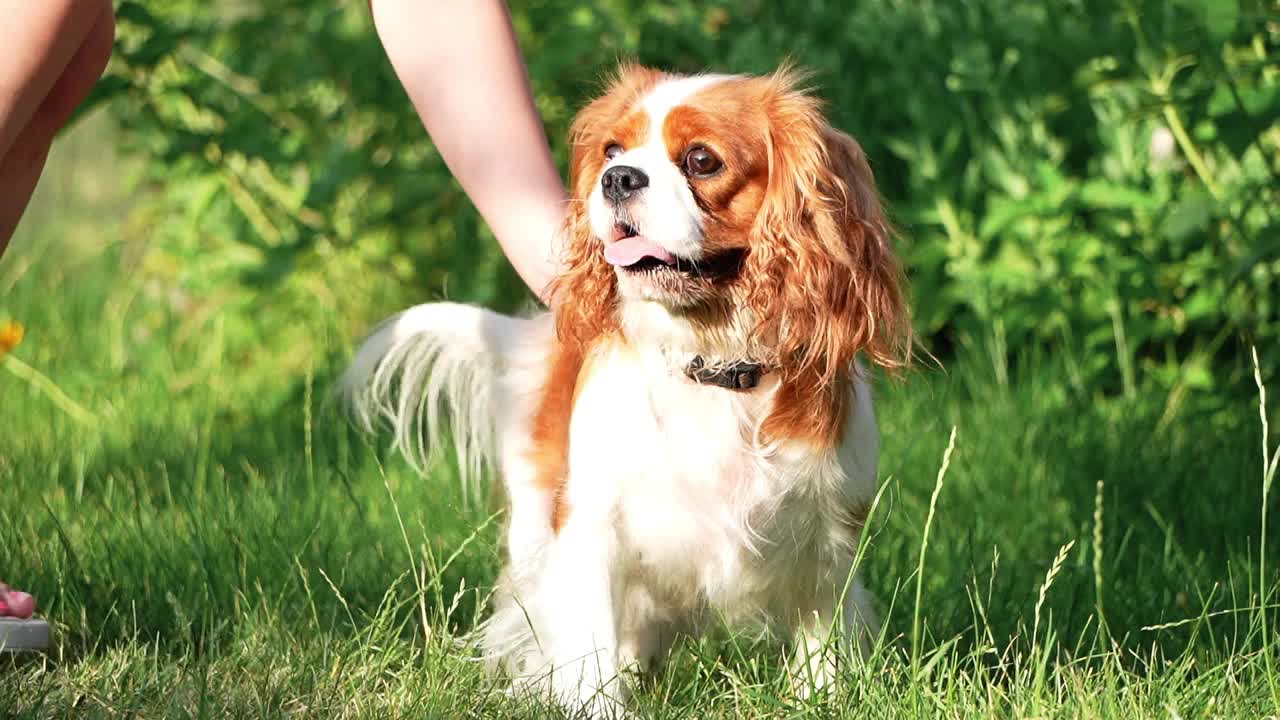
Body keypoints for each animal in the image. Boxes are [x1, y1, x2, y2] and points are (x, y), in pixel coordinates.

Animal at [345, 63, 916, 712]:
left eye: (701, 160)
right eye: (612, 151)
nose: (618, 178)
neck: (712, 365)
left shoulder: (828, 543)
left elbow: (824, 655)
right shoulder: (591, 527)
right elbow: (590, 652)